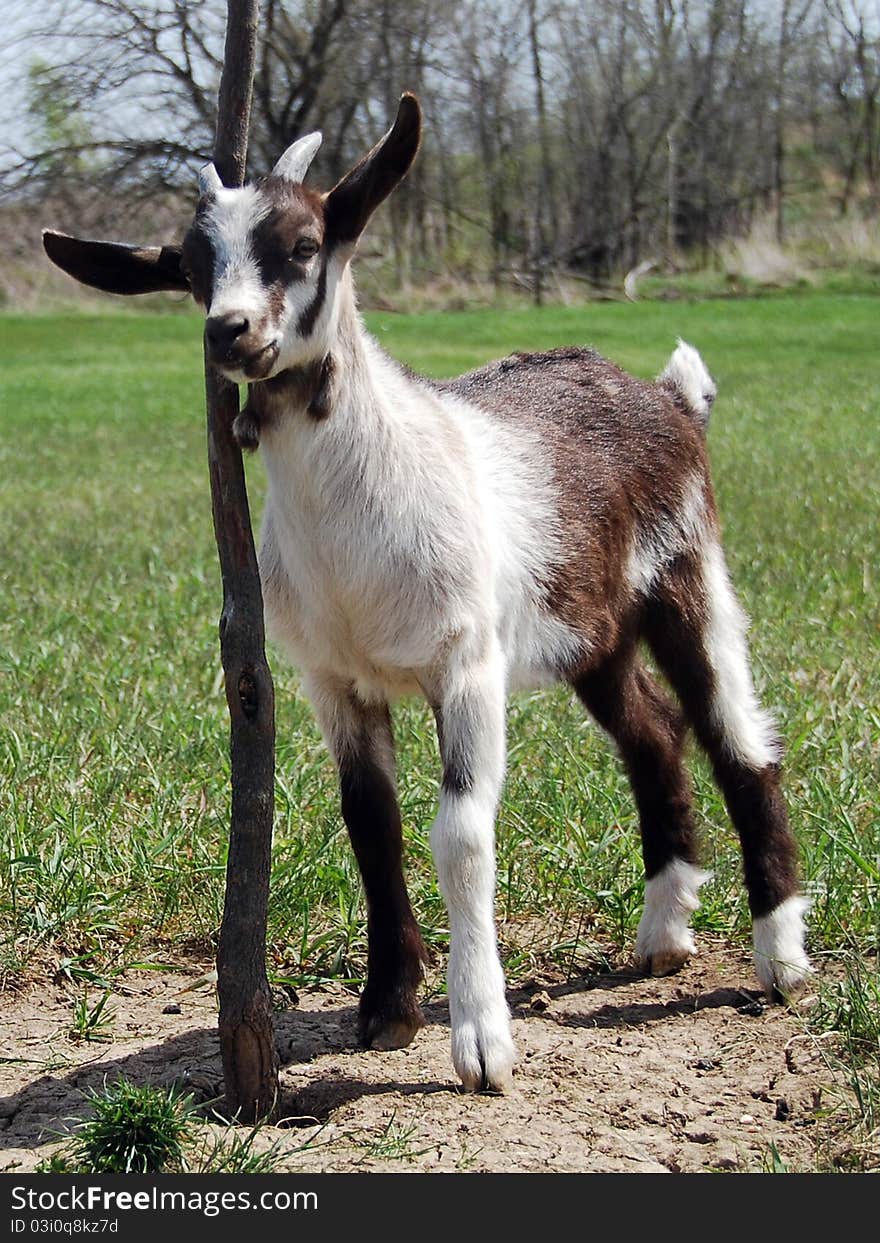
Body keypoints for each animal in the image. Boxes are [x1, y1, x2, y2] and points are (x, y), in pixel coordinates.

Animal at [42, 94, 810, 1088]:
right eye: (190, 268)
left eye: (304, 243)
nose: (230, 332)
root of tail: (671, 396)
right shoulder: (334, 679)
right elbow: (370, 823)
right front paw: (387, 1007)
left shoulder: (465, 664)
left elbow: (462, 831)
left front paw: (480, 1038)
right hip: (589, 629)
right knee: (653, 731)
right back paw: (664, 930)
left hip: (691, 576)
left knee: (739, 740)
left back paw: (780, 955)